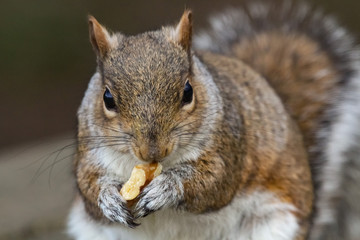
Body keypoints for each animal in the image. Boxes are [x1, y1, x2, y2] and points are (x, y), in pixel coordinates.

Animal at [66, 0, 360, 239]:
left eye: (187, 92)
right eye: (107, 98)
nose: (152, 151)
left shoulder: (229, 145)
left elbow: (213, 182)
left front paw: (168, 188)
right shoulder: (89, 153)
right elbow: (88, 185)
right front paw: (108, 200)